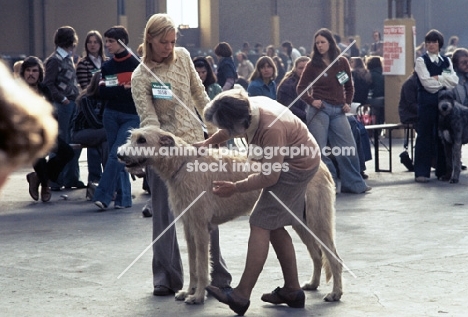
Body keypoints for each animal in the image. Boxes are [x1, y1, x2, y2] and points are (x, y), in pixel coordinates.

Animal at [119, 125, 342, 304]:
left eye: (142, 140)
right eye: (132, 137)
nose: (120, 154)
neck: (182, 164)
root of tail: (322, 166)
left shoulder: (201, 228)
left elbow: (201, 265)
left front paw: (198, 296)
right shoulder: (189, 227)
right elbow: (192, 264)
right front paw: (188, 291)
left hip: (317, 221)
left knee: (333, 257)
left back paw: (335, 293)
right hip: (300, 222)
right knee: (317, 254)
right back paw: (313, 283)